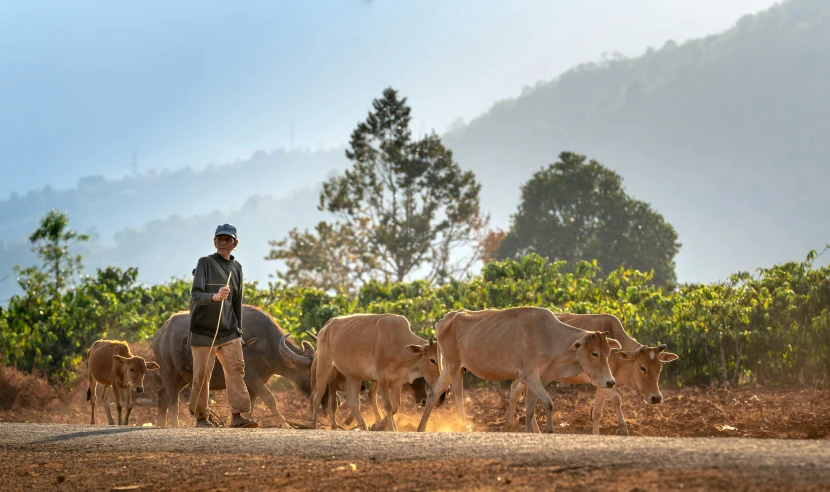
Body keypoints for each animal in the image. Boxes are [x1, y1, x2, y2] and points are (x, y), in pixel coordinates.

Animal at [153, 306, 324, 428]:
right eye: (312, 375)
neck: (266, 343)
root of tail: (160, 334)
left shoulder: (253, 384)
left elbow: (250, 406)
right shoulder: (251, 377)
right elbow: (270, 398)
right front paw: (284, 424)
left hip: (182, 378)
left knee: (162, 395)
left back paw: (161, 424)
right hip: (169, 372)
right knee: (173, 402)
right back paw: (175, 426)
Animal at [420, 308, 620, 434]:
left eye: (608, 352)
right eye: (594, 353)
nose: (610, 382)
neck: (551, 337)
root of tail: (446, 319)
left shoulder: (537, 378)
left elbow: (530, 409)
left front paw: (529, 431)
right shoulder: (530, 376)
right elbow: (548, 402)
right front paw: (549, 429)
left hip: (447, 369)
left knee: (432, 394)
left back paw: (421, 428)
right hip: (455, 368)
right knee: (458, 401)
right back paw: (463, 427)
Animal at [504, 316, 680, 434]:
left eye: (659, 368)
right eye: (642, 368)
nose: (656, 398)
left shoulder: (605, 383)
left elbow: (597, 412)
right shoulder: (597, 381)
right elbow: (617, 399)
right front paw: (623, 428)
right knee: (515, 390)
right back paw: (511, 426)